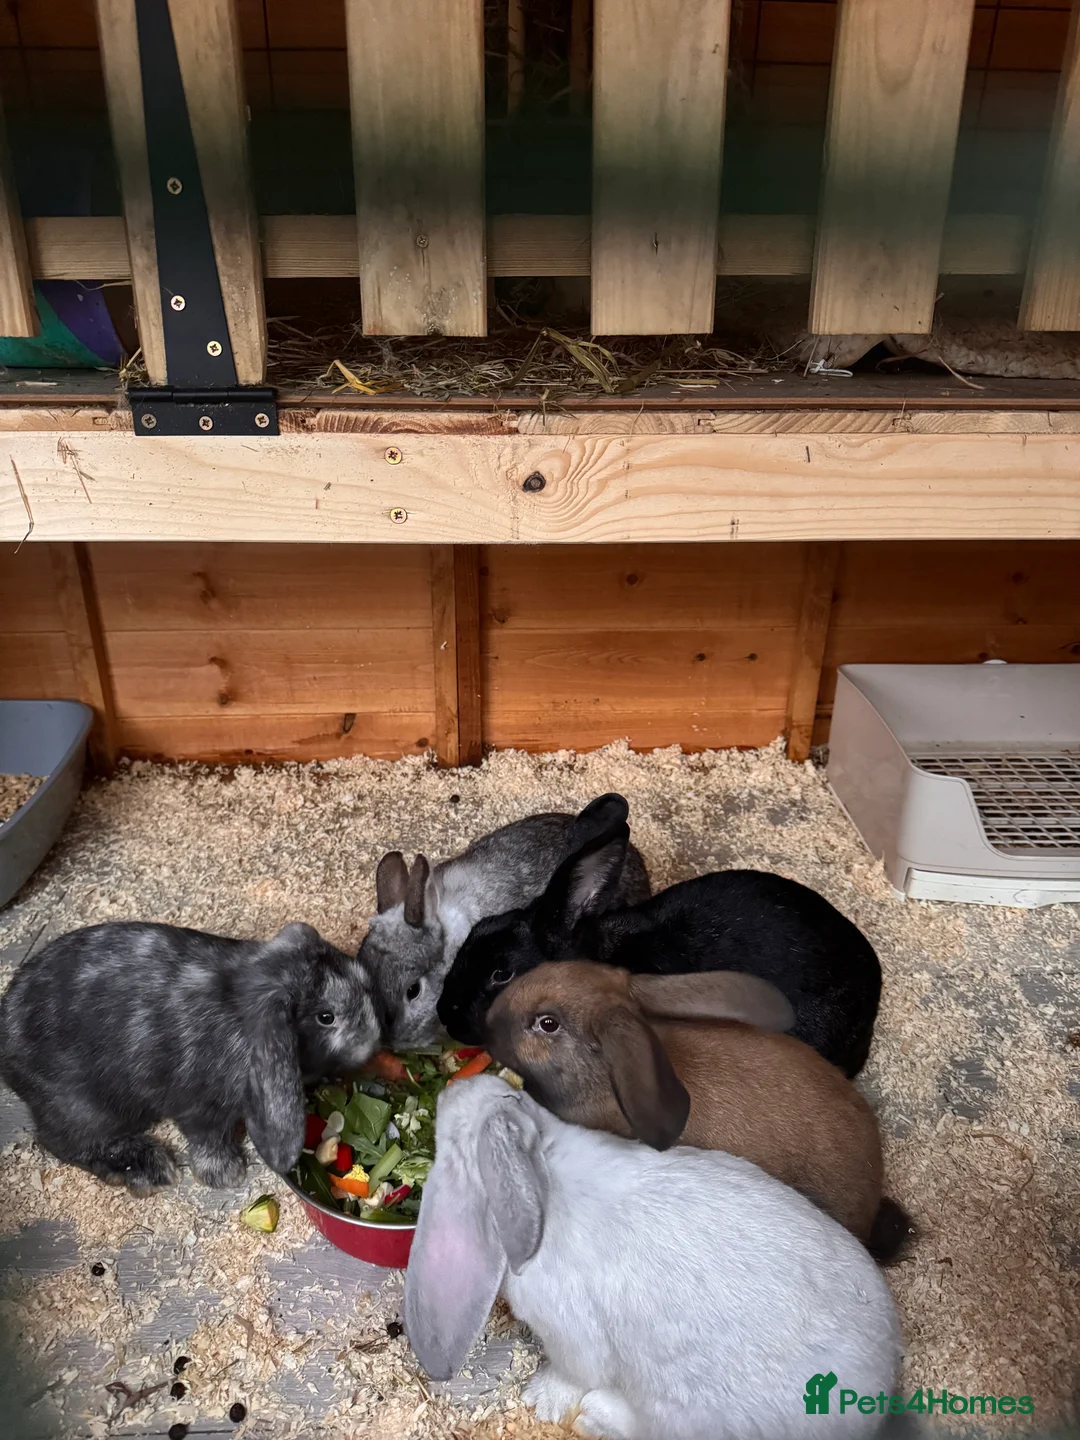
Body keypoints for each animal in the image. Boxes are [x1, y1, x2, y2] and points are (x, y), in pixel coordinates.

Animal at [0, 920, 380, 1194]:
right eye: (326, 1017)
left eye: (365, 983)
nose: (374, 1040)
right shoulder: (200, 1109)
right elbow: (208, 1141)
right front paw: (228, 1175)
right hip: (84, 1108)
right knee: (63, 1142)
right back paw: (148, 1168)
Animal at [404, 1075, 902, 1440]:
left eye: (513, 1094)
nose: (453, 1086)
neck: (547, 1171)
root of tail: (882, 1393)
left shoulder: (571, 1338)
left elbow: (573, 1372)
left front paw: (541, 1400)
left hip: (685, 1415)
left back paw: (595, 1416)